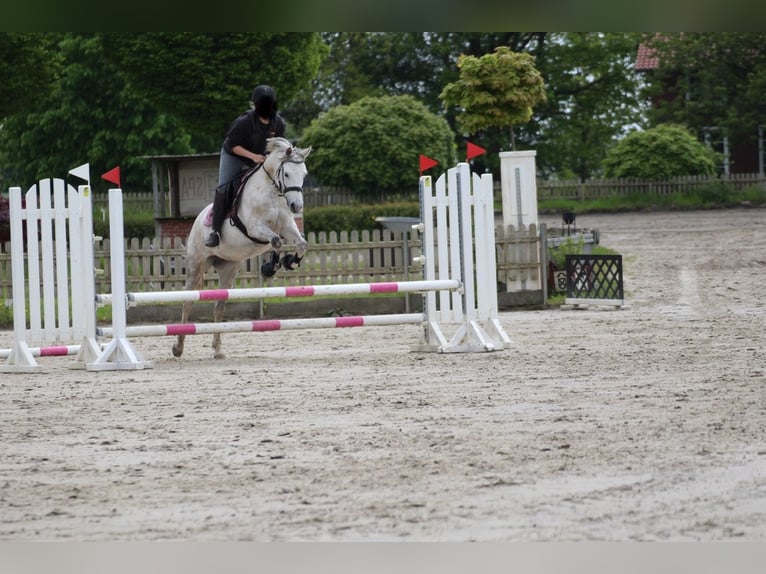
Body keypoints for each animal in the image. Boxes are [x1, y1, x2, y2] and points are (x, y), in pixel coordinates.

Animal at [174, 137, 312, 358]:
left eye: (304, 174)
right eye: (287, 173)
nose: (297, 207)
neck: (272, 192)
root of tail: (196, 220)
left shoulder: (287, 226)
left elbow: (301, 243)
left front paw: (290, 262)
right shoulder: (255, 228)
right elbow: (276, 241)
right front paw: (270, 267)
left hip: (229, 269)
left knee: (219, 306)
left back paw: (218, 349)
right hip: (197, 263)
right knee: (188, 301)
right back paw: (178, 347)